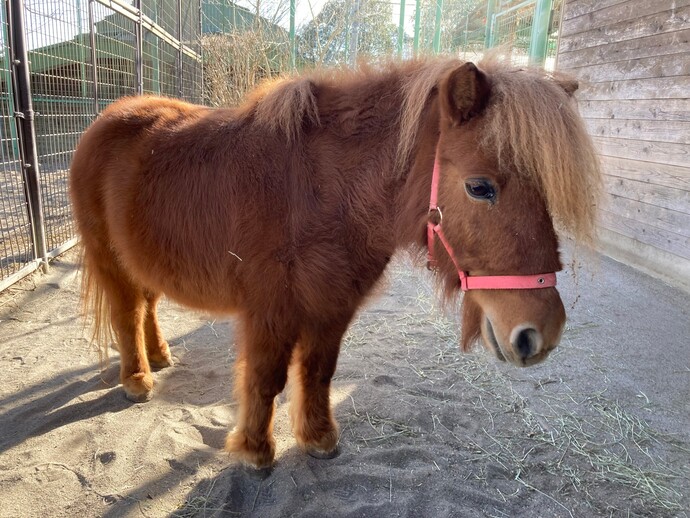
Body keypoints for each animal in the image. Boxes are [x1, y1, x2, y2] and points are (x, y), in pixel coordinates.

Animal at [67, 59, 600, 470]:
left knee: (148, 305)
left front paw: (319, 439)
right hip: (111, 262)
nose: (540, 333)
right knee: (127, 314)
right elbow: (266, 378)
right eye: (480, 187)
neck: (325, 193)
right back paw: (138, 379)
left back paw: (159, 356)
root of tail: (105, 119)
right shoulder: (270, 311)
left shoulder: (332, 307)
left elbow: (319, 373)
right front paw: (256, 452)